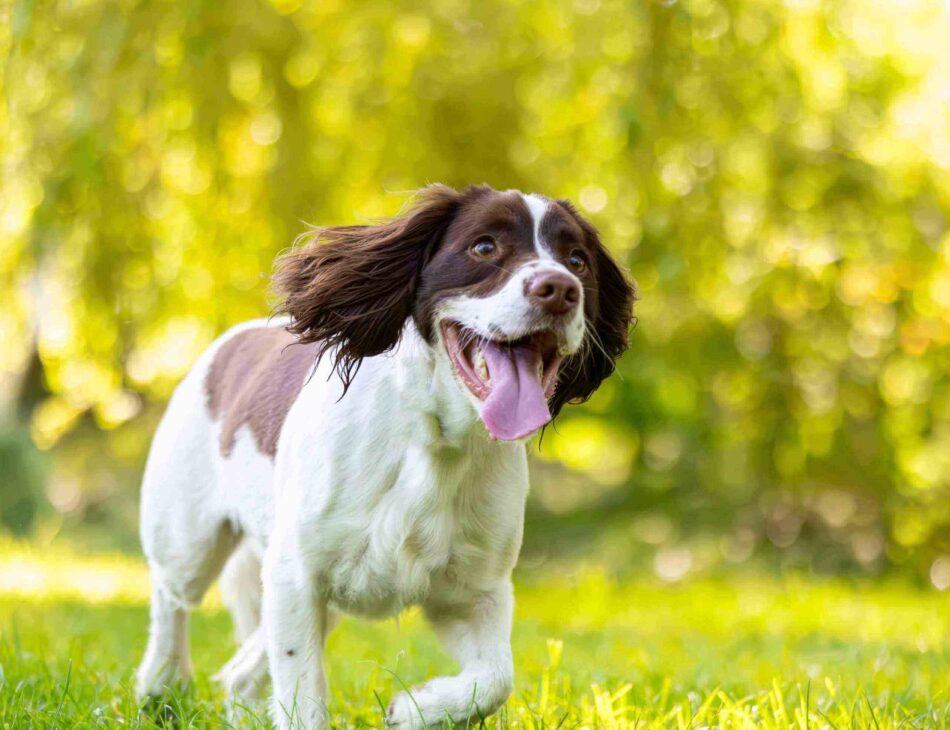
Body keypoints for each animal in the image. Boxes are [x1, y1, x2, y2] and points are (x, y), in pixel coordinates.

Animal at [134, 185, 636, 724]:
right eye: (484, 247)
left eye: (577, 260)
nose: (559, 289)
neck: (435, 440)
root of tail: (233, 338)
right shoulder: (297, 571)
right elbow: (302, 696)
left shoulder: (475, 589)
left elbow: (495, 680)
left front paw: (413, 708)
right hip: (187, 539)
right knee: (170, 598)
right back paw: (160, 686)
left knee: (240, 669)